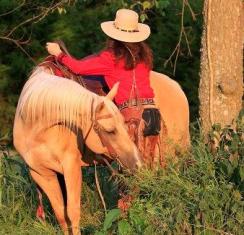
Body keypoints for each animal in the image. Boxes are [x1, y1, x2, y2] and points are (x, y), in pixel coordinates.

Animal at [12, 67, 143, 234]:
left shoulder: (71, 167)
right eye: (110, 131)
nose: (137, 163)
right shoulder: (41, 174)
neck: (35, 126)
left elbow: (73, 211)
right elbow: (61, 214)